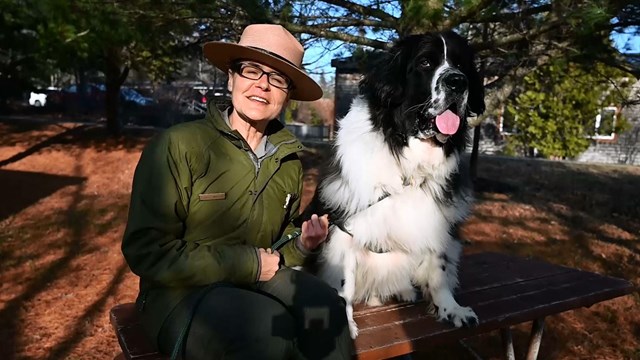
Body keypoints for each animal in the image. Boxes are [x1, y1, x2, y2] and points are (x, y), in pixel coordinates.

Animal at [316, 31, 484, 338]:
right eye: (425, 62)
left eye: (461, 65)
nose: (458, 81)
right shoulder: (344, 225)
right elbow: (344, 285)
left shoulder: (439, 219)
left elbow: (440, 269)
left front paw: (450, 309)